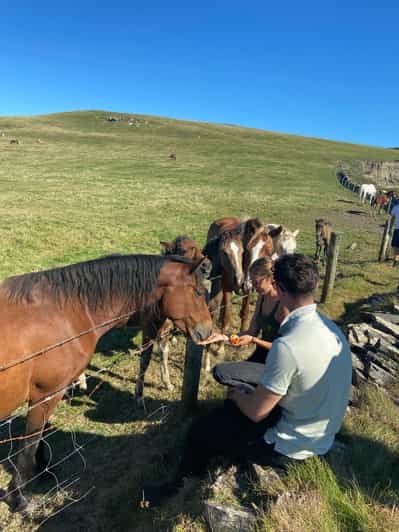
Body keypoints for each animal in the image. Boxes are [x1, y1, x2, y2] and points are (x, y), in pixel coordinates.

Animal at [0, 254, 212, 512]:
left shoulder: (47, 394)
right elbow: (30, 443)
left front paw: (42, 472)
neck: (64, 312)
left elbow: (40, 435)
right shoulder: (47, 394)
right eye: (198, 292)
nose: (208, 331)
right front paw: (18, 496)